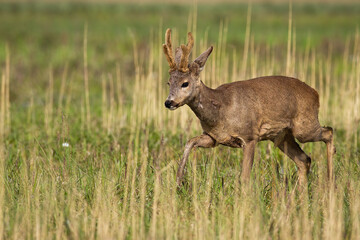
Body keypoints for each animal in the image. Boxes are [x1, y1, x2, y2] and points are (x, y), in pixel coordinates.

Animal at [163, 29, 334, 187]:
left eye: (185, 83)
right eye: (168, 82)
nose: (169, 102)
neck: (221, 109)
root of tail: (316, 93)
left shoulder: (250, 136)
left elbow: (244, 177)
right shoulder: (213, 137)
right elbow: (190, 142)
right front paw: (179, 180)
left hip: (304, 127)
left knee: (329, 132)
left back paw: (330, 182)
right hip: (281, 136)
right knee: (304, 159)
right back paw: (301, 192)